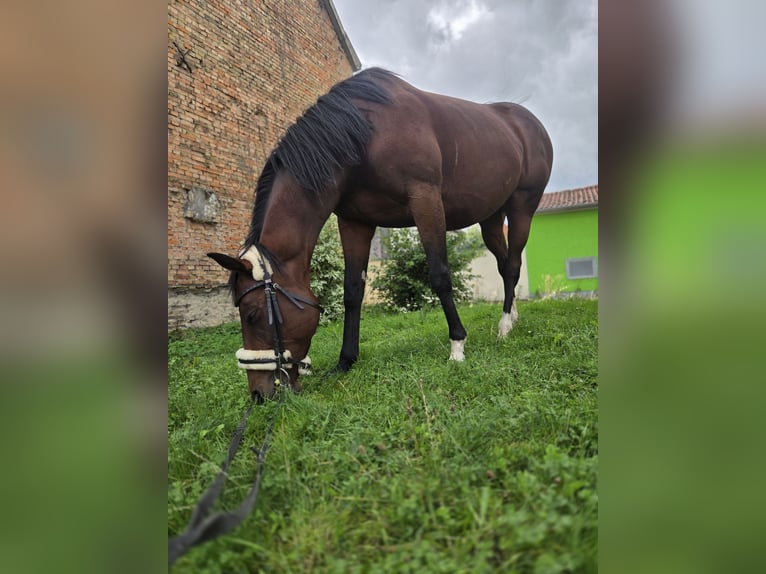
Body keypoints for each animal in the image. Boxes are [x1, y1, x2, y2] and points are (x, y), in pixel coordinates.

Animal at [208, 68, 553, 400]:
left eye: (252, 314)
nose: (258, 394)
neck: (365, 135)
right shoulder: (354, 221)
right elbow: (352, 291)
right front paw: (345, 361)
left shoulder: (426, 200)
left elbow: (440, 274)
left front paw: (457, 345)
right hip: (491, 218)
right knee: (505, 265)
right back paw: (512, 316)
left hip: (522, 206)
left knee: (512, 264)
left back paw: (505, 325)